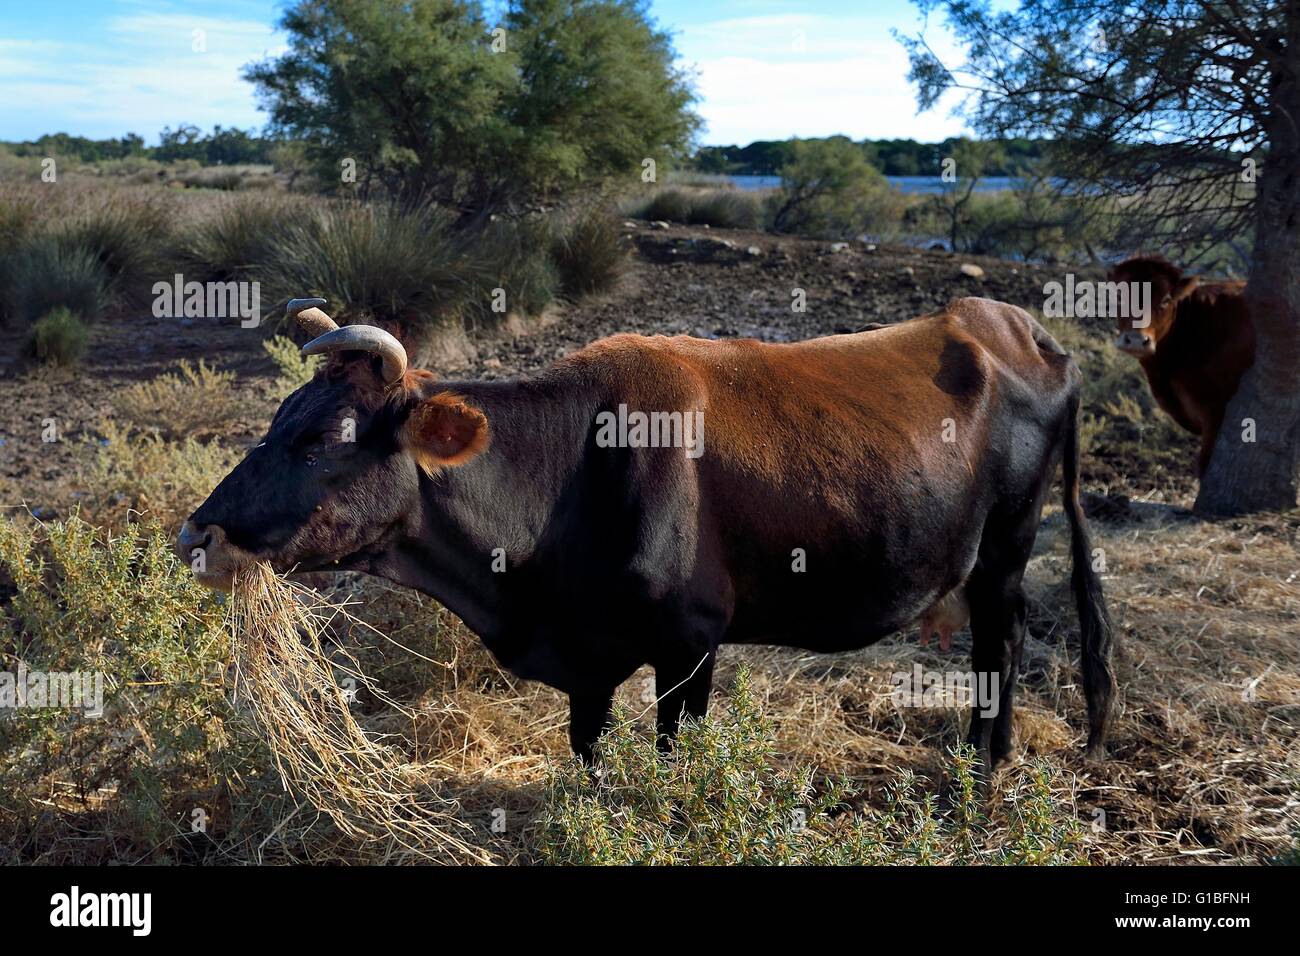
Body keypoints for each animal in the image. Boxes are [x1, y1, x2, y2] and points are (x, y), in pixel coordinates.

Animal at [180, 295, 1118, 780]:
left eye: (325, 439)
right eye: (280, 418)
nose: (198, 534)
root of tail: (1014, 324)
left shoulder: (691, 643)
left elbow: (673, 761)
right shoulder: (589, 659)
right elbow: (588, 757)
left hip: (1005, 548)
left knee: (1003, 642)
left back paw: (983, 772)